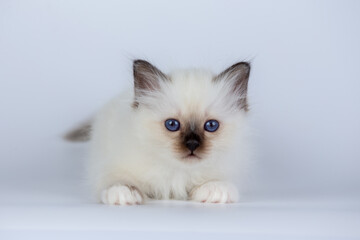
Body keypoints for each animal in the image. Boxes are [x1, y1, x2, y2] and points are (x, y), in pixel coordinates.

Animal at [68, 59, 253, 204]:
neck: (178, 172)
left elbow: (219, 181)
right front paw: (124, 192)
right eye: (172, 124)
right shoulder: (111, 164)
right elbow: (117, 179)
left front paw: (216, 189)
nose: (192, 144)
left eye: (211, 126)